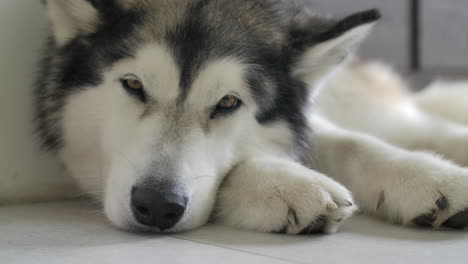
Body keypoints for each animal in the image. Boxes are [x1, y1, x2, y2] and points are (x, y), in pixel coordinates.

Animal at [35, 0, 468, 235]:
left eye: (228, 102)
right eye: (133, 84)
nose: (157, 205)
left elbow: (351, 143)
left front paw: (429, 178)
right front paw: (290, 185)